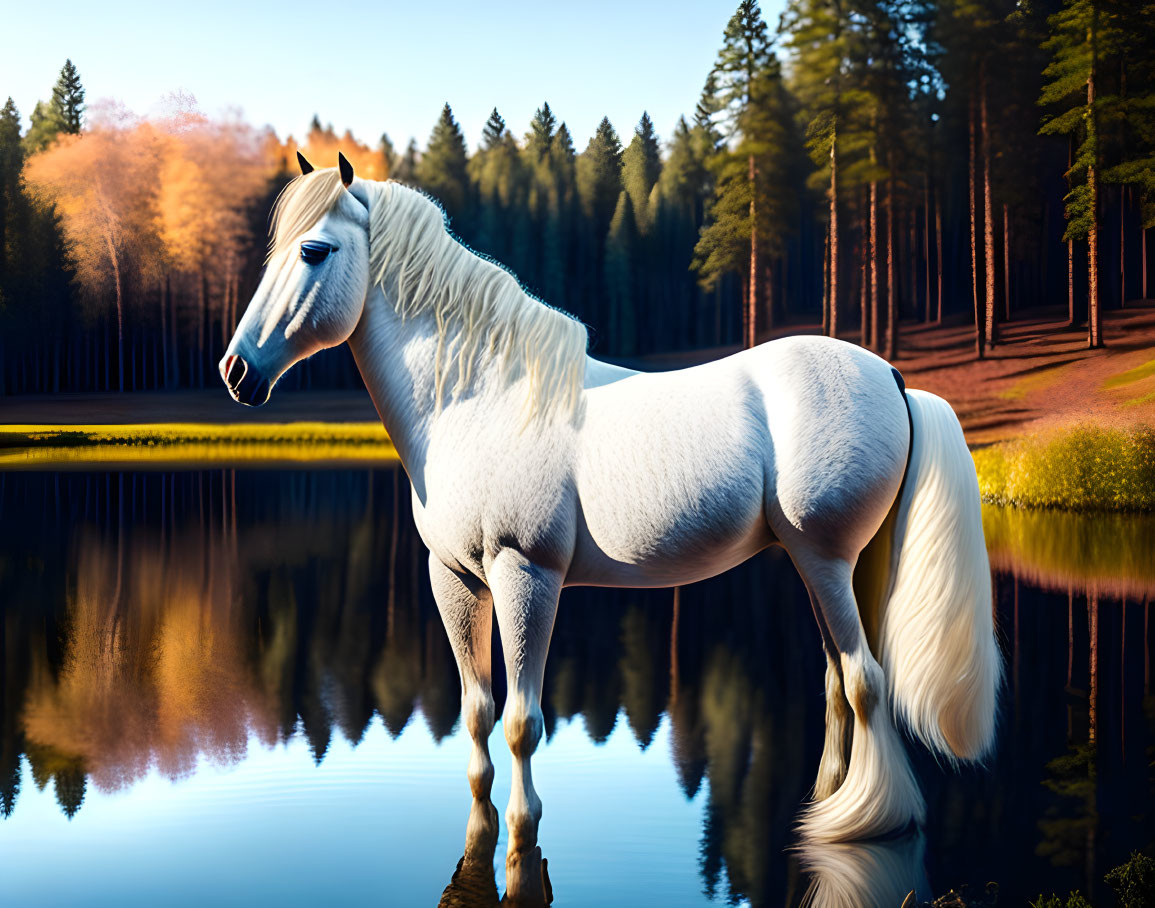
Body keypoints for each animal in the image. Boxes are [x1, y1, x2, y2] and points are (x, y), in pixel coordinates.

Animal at [220, 155, 997, 896]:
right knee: (840, 683)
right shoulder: (454, 579)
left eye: (314, 251)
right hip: (832, 566)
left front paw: (523, 832)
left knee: (864, 680)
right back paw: (824, 810)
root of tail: (892, 376)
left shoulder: (524, 573)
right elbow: (476, 710)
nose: (236, 372)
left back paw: (862, 824)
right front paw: (482, 822)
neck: (477, 402)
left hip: (826, 556)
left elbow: (521, 720)